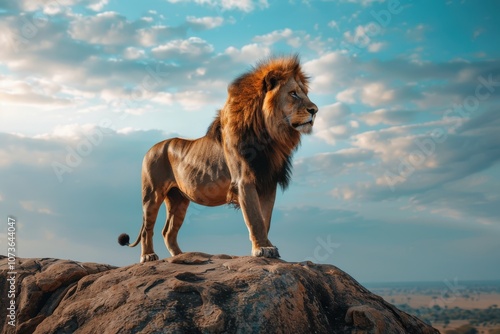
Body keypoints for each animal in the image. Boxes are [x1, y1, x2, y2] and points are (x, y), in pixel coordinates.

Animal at [118, 54, 316, 262]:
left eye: (305, 93)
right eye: (293, 93)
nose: (315, 110)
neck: (270, 136)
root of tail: (151, 148)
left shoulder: (268, 182)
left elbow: (265, 219)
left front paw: (267, 247)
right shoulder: (244, 181)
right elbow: (255, 219)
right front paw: (263, 248)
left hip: (179, 199)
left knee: (168, 231)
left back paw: (182, 256)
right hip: (152, 194)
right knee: (148, 229)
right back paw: (149, 256)